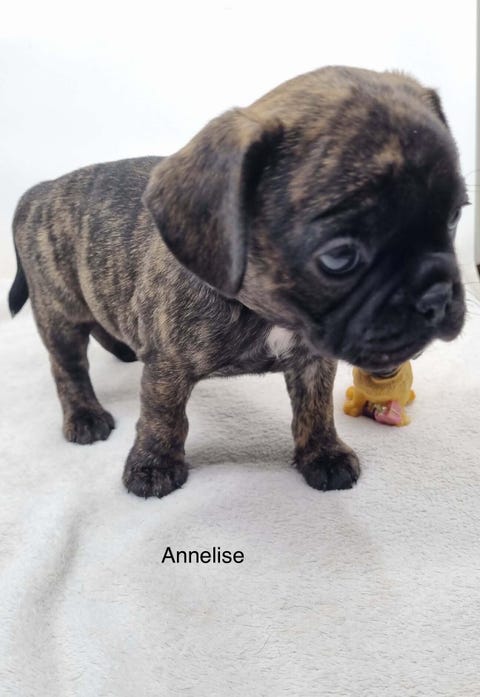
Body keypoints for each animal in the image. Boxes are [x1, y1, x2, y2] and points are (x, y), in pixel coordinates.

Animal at [8, 66, 467, 499]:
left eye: (455, 216)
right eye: (339, 256)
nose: (437, 296)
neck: (267, 312)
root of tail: (39, 192)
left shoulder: (313, 361)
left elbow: (315, 407)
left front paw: (324, 454)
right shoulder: (167, 367)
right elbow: (162, 415)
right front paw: (153, 466)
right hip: (58, 311)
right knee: (68, 365)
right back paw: (85, 415)